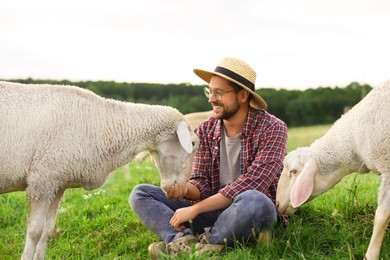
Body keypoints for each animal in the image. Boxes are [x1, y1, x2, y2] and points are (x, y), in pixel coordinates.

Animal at [0, 81, 197, 260]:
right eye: (193, 143)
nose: (182, 187)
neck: (104, 123)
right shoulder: (41, 181)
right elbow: (35, 231)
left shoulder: (56, 182)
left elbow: (47, 231)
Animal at [276, 80, 388, 258]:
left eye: (293, 171)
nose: (277, 203)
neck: (352, 141)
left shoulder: (387, 166)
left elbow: (381, 217)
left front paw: (370, 256)